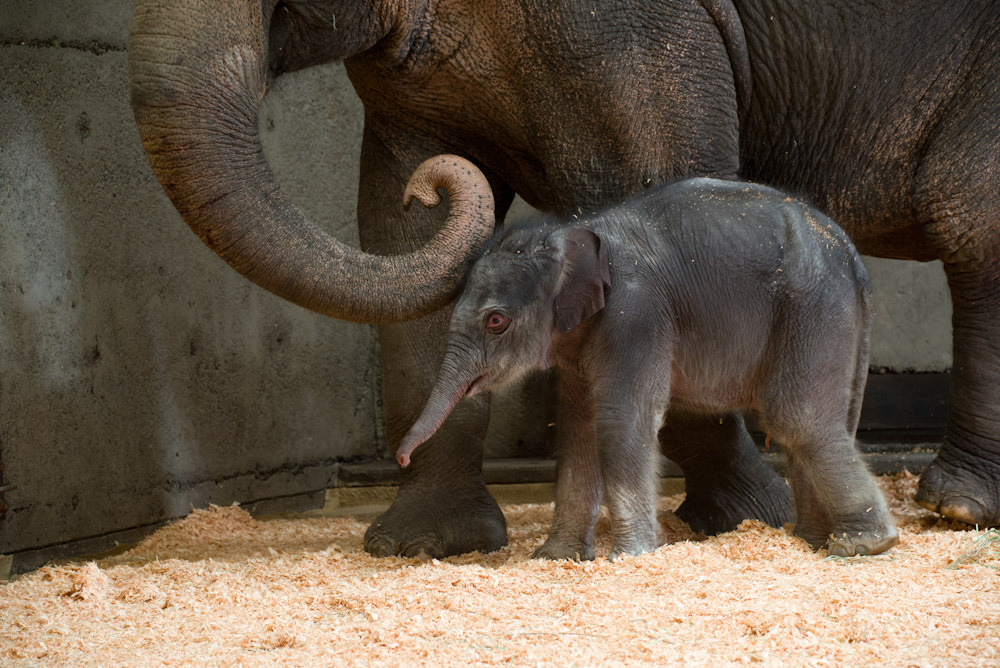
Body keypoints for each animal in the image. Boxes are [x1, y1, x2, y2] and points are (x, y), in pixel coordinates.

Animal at [397, 170, 899, 559]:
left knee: (797, 420)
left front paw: (629, 557)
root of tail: (851, 253)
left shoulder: (635, 315)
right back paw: (811, 542)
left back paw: (864, 545)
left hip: (813, 309)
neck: (575, 233)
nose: (401, 458)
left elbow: (621, 420)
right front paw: (555, 558)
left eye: (496, 321)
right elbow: (577, 429)